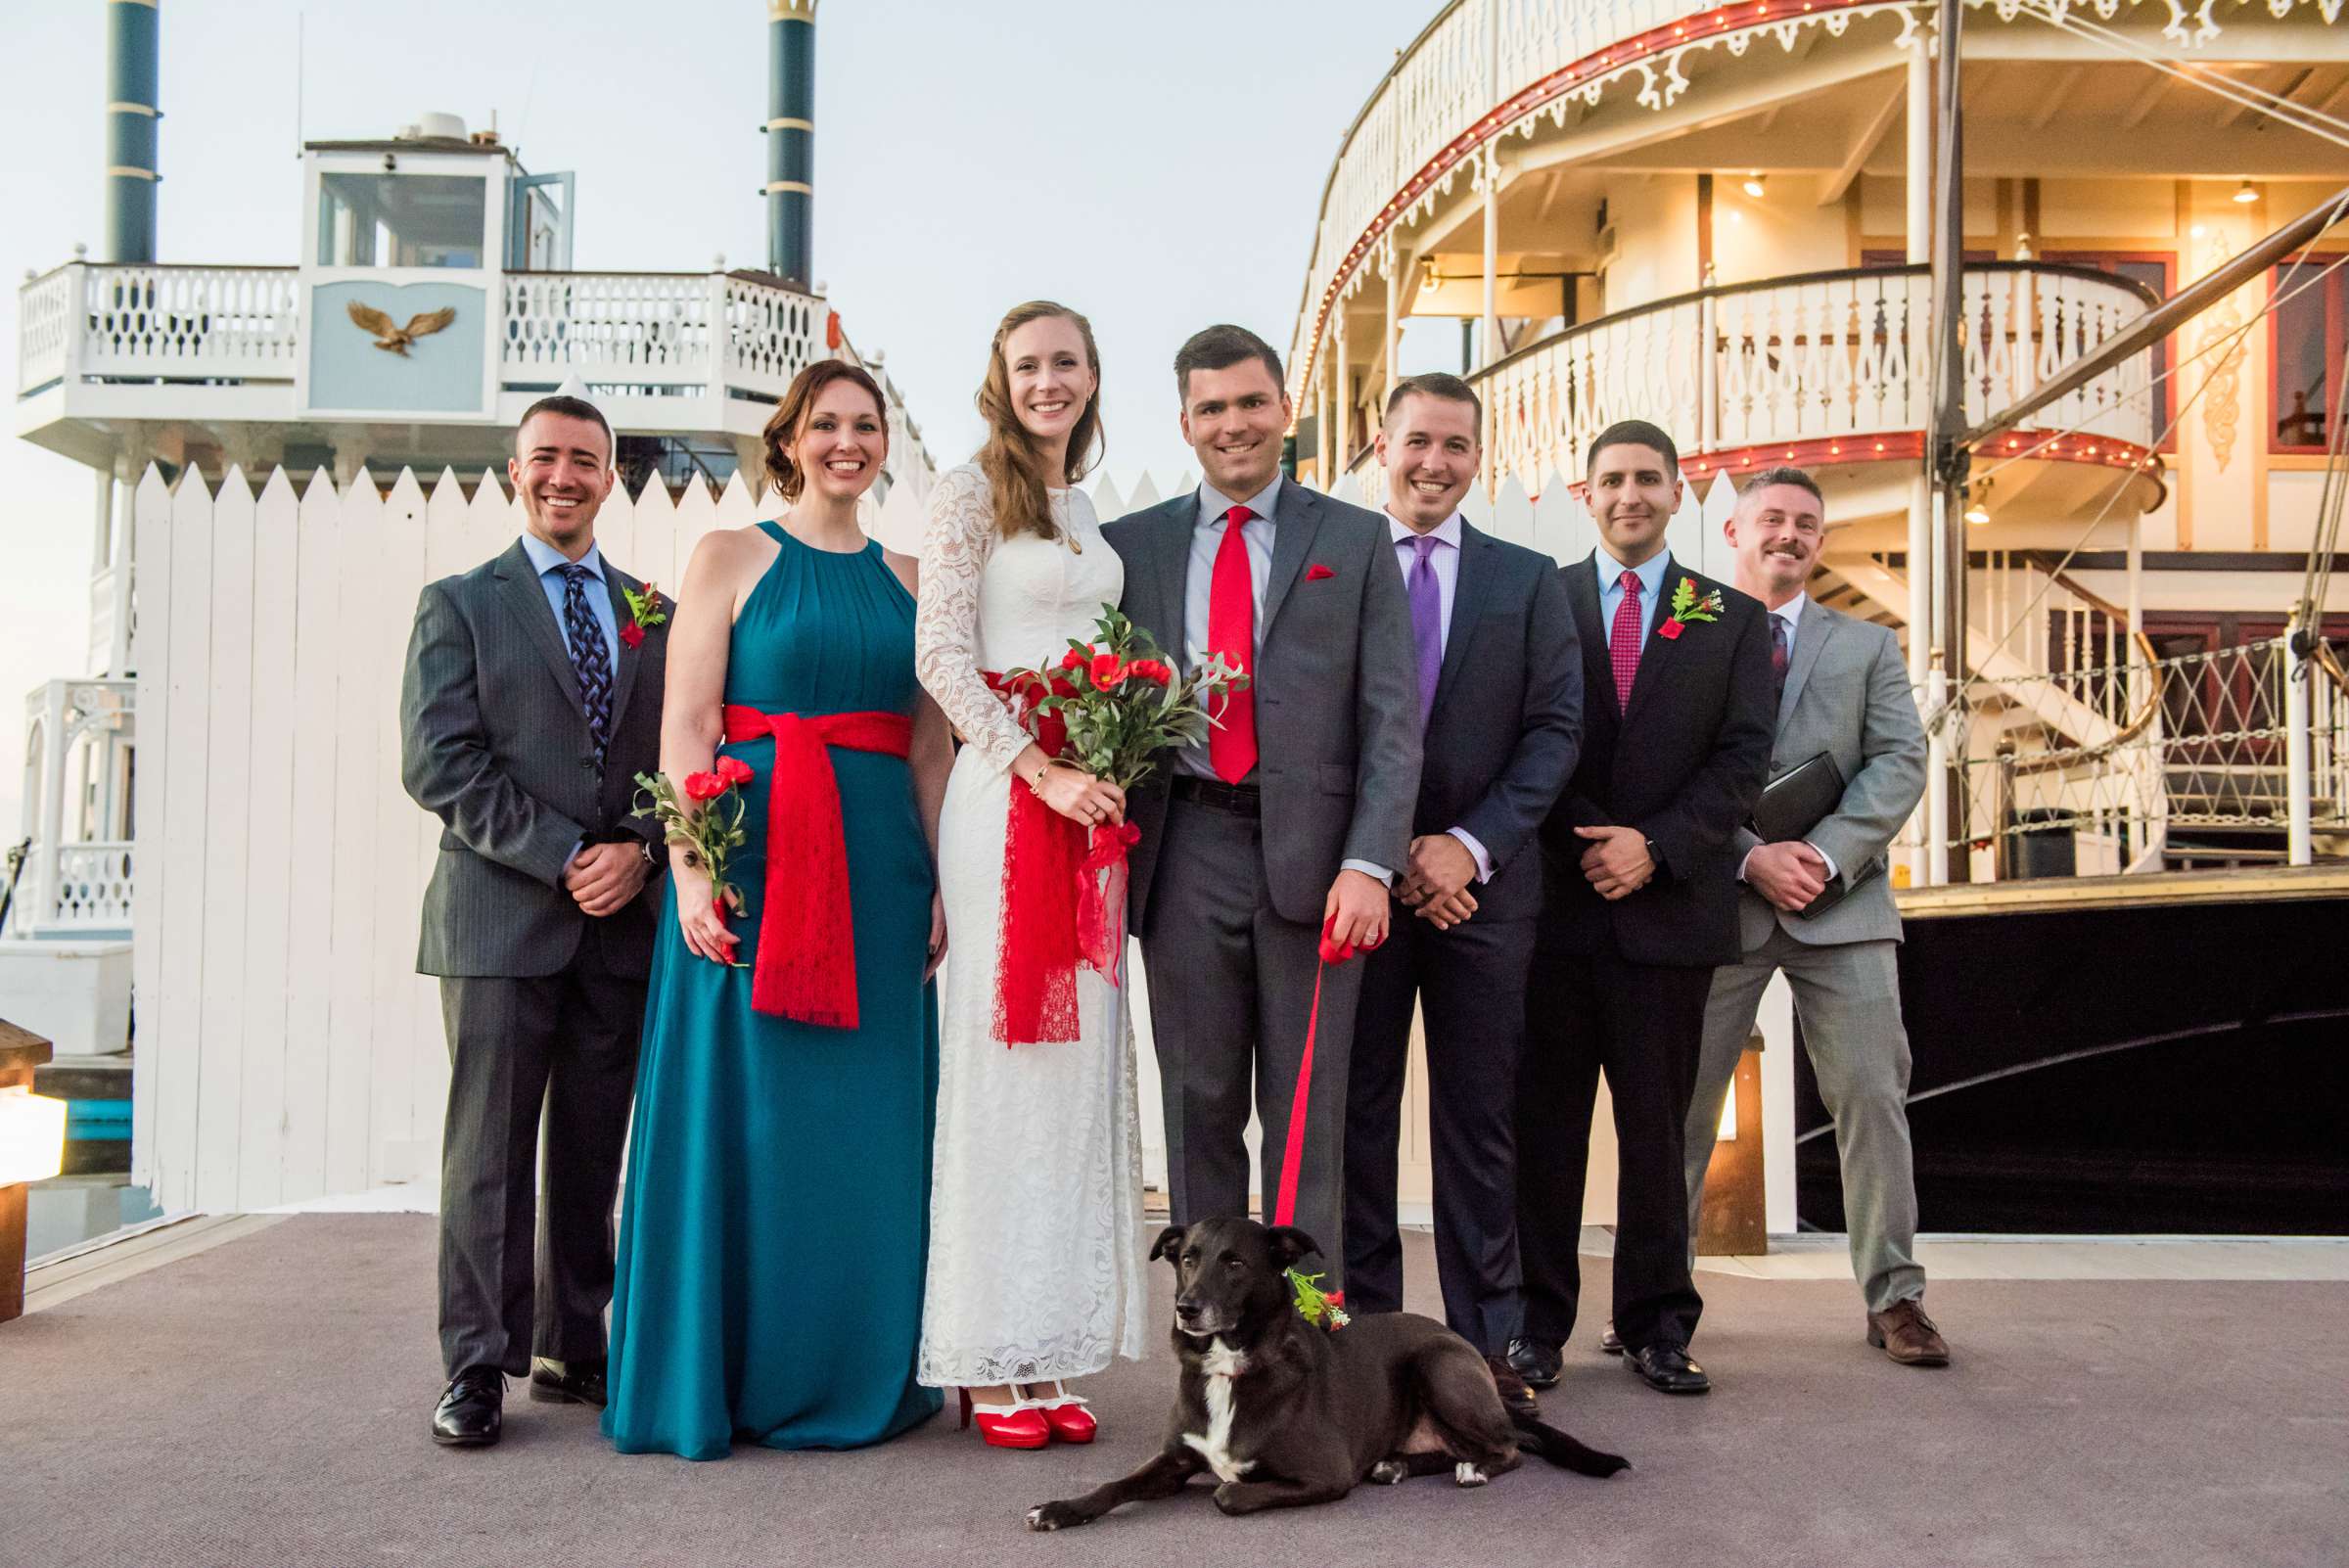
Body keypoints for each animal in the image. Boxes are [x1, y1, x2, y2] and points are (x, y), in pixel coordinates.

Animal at [1029, 1211, 1635, 1530]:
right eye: (1187, 1258)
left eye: (1235, 1262)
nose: (1186, 1308)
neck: (1231, 1368)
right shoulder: (1174, 1460)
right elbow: (1114, 1483)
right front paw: (1061, 1508)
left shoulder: (1328, 1474)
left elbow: (1229, 1493)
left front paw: (1232, 1488)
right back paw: (1396, 1466)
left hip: (1439, 1367)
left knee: (1507, 1446)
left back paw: (1474, 1470)